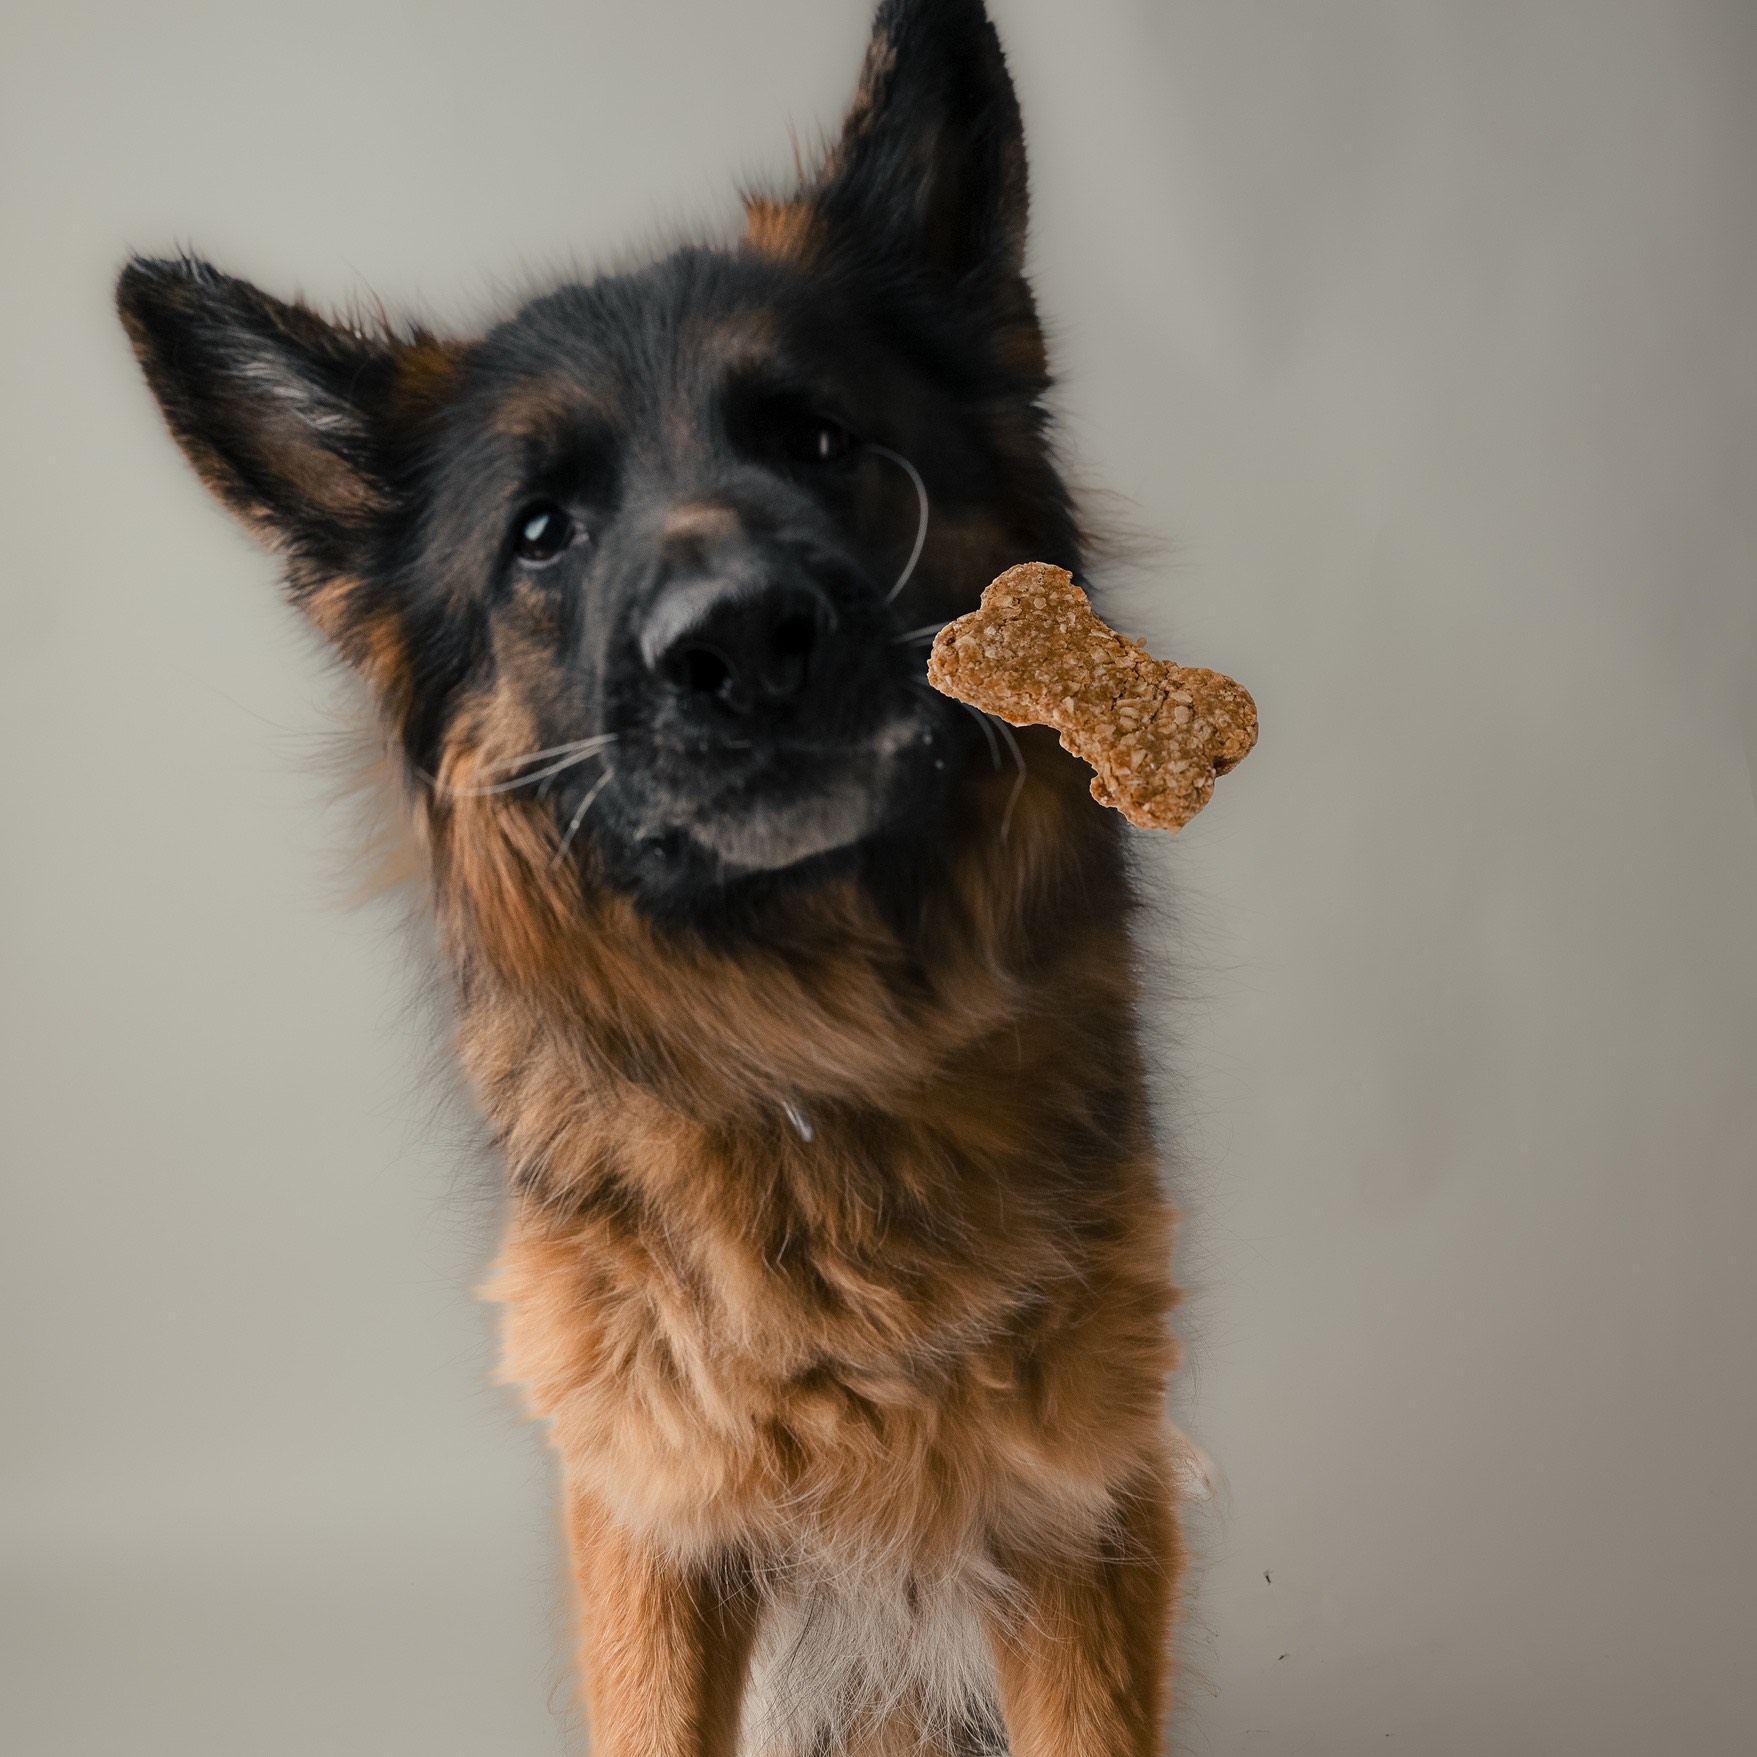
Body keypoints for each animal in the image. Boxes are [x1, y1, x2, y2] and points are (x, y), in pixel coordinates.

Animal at [117, 2, 1184, 1751]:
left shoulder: (1077, 1506)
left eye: (817, 439)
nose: (739, 644)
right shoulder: (650, 1514)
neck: (820, 1049)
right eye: (542, 532)